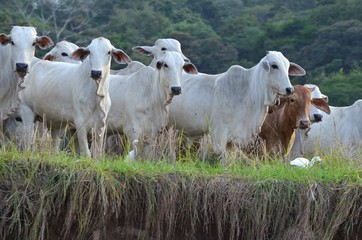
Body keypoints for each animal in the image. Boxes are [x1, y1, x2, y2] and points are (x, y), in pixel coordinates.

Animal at [168, 50, 304, 161]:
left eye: (287, 67)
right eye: (274, 66)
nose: (289, 89)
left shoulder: (234, 140)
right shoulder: (219, 132)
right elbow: (222, 157)